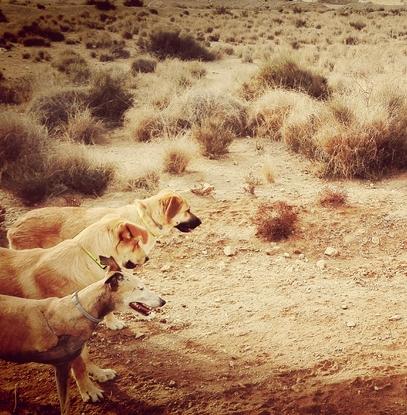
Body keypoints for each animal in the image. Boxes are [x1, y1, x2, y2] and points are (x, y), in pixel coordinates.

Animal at [0, 218, 149, 404]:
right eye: (136, 243)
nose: (147, 258)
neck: (87, 260)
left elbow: (86, 357)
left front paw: (98, 373)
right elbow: (78, 365)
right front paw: (88, 390)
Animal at [0, 260, 166, 415]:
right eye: (140, 288)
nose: (163, 301)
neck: (78, 309)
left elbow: (85, 358)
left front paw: (98, 374)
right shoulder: (61, 366)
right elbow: (66, 400)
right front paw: (89, 391)